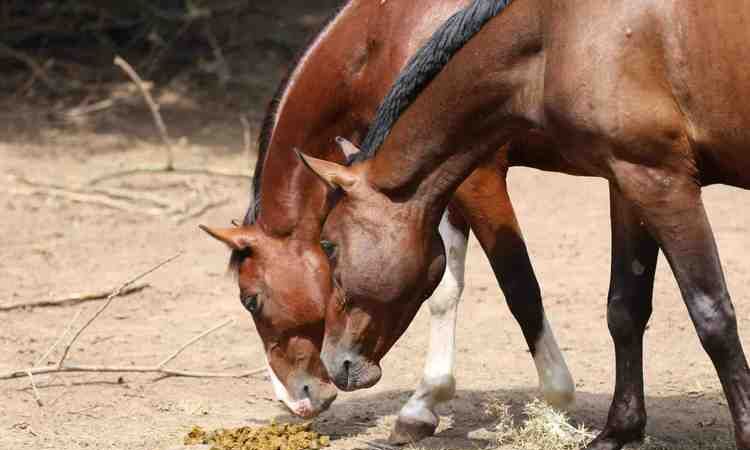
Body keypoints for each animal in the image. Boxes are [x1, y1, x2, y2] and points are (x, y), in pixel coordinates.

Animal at [198, 0, 576, 442]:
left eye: (251, 300)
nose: (294, 399)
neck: (387, 33)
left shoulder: (479, 177)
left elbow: (520, 286)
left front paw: (557, 403)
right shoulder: (434, 185)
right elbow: (444, 290)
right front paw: (423, 405)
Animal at [302, 0, 750, 450]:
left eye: (329, 245)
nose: (334, 363)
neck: (555, 32)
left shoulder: (663, 183)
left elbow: (713, 316)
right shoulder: (628, 182)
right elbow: (625, 309)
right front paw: (619, 430)